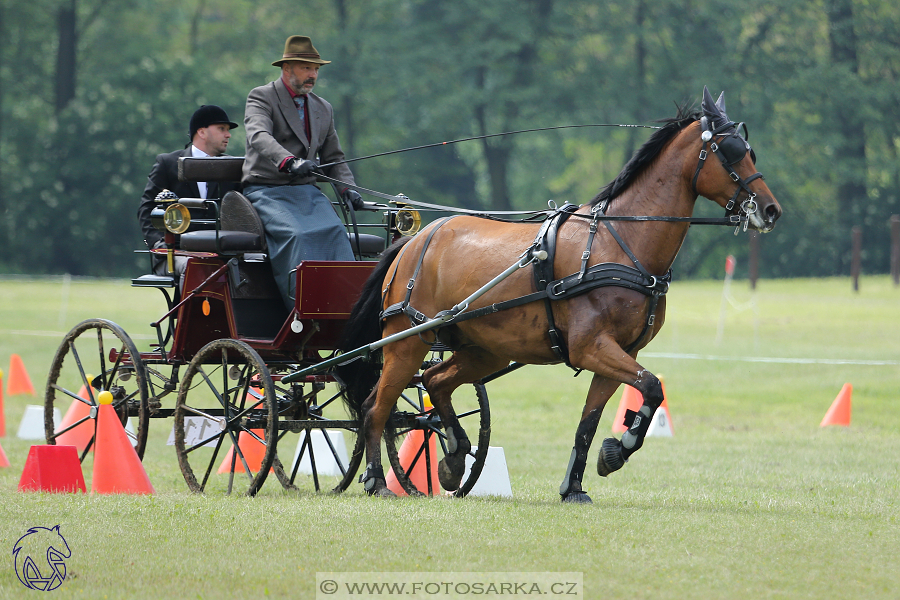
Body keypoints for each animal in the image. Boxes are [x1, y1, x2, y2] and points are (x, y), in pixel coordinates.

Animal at [338, 88, 780, 502]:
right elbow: (652, 386)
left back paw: (453, 458)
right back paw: (377, 479)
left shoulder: (620, 352)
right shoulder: (592, 346)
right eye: (730, 152)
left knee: (434, 381)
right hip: (407, 342)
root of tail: (412, 242)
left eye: (749, 151)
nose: (771, 210)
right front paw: (618, 450)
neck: (621, 243)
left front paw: (578, 483)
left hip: (485, 349)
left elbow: (590, 422)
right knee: (376, 407)